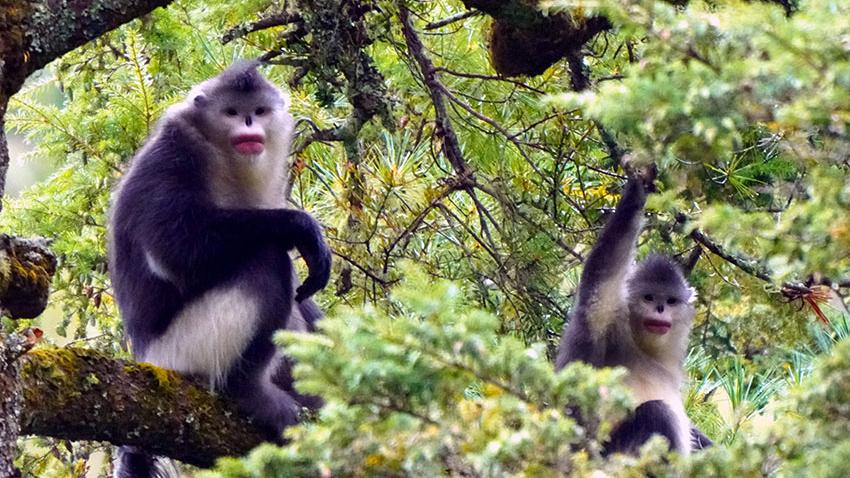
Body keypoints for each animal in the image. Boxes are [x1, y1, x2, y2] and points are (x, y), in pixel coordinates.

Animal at [108, 61, 331, 477]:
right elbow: (176, 249)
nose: (248, 124)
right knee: (266, 260)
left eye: (258, 111)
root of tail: (146, 357)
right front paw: (301, 228)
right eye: (231, 112)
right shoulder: (173, 155)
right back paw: (250, 394)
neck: (222, 154)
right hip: (184, 352)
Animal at [555, 164, 711, 455]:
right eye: (649, 298)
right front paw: (640, 185)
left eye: (670, 301)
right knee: (657, 412)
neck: (642, 348)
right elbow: (600, 278)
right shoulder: (602, 322)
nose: (660, 309)